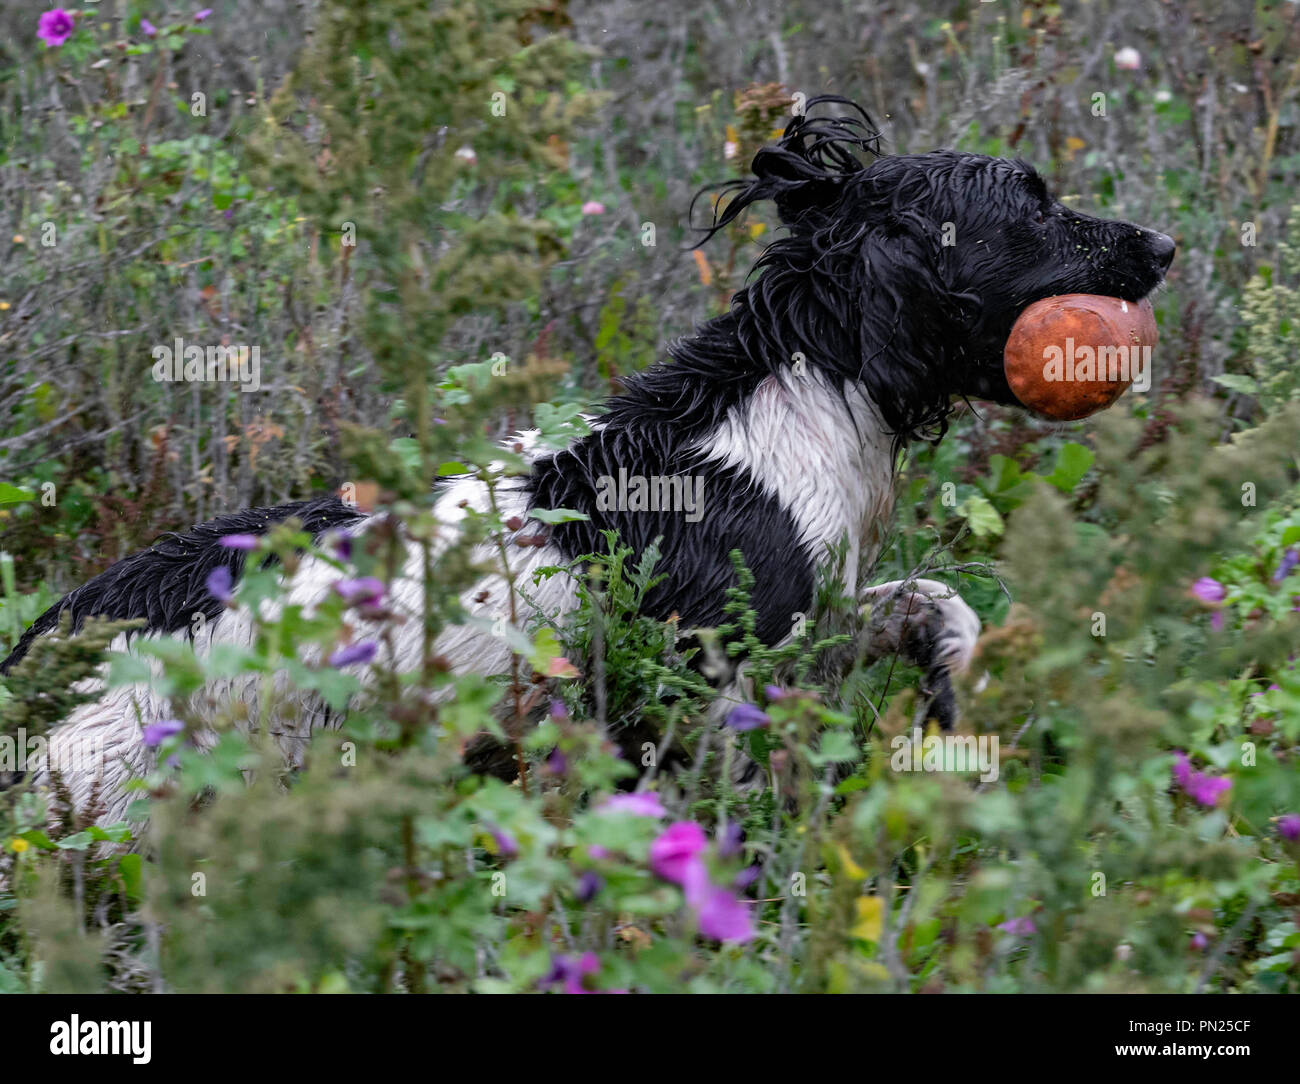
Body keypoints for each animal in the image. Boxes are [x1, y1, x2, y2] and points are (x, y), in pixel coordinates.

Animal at [2, 99, 1180, 821]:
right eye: (1029, 205)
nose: (1165, 245)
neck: (790, 391)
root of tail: (51, 642)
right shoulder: (703, 683)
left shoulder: (798, 625)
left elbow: (931, 603)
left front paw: (952, 685)